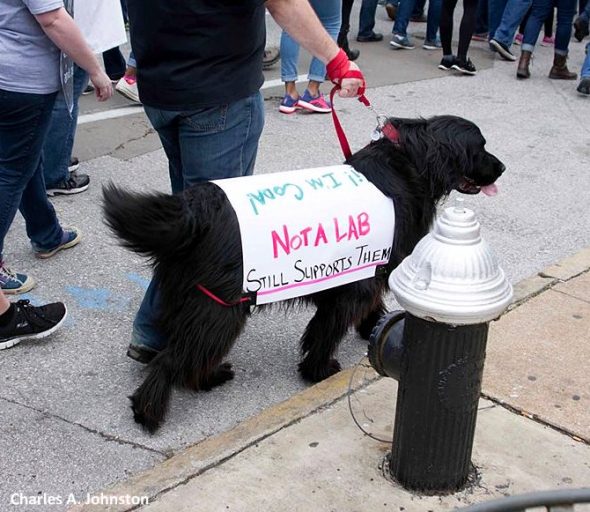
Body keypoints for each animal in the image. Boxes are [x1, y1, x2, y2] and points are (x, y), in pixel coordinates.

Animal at [104, 115, 506, 432]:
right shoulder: (359, 279)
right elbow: (329, 329)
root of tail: (195, 207)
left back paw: (205, 379)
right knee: (171, 359)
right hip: (219, 307)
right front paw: (319, 368)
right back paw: (149, 412)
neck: (410, 162)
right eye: (481, 146)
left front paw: (374, 328)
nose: (502, 168)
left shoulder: (360, 271)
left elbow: (353, 312)